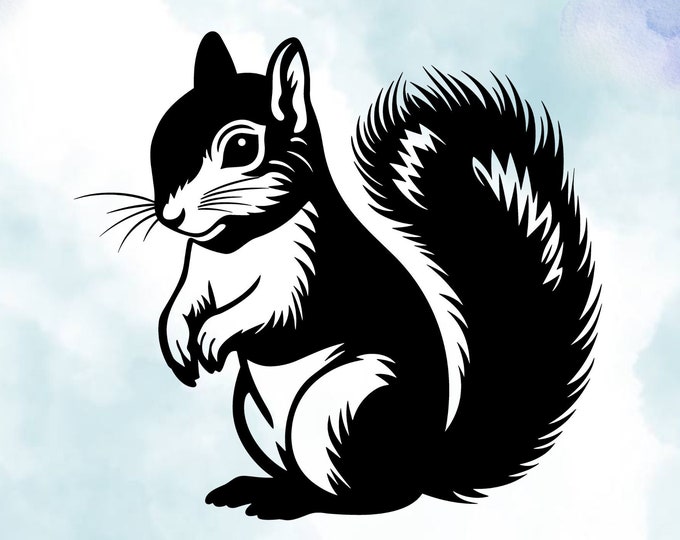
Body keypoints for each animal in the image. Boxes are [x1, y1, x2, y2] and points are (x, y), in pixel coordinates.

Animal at [143, 32, 599, 520]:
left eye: (243, 148)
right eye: (162, 134)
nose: (170, 216)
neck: (238, 242)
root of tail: (423, 463)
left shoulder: (312, 274)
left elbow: (276, 318)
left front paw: (214, 336)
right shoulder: (199, 274)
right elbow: (181, 305)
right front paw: (177, 344)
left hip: (343, 409)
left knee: (367, 498)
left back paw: (289, 501)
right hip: (255, 412)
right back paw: (259, 486)